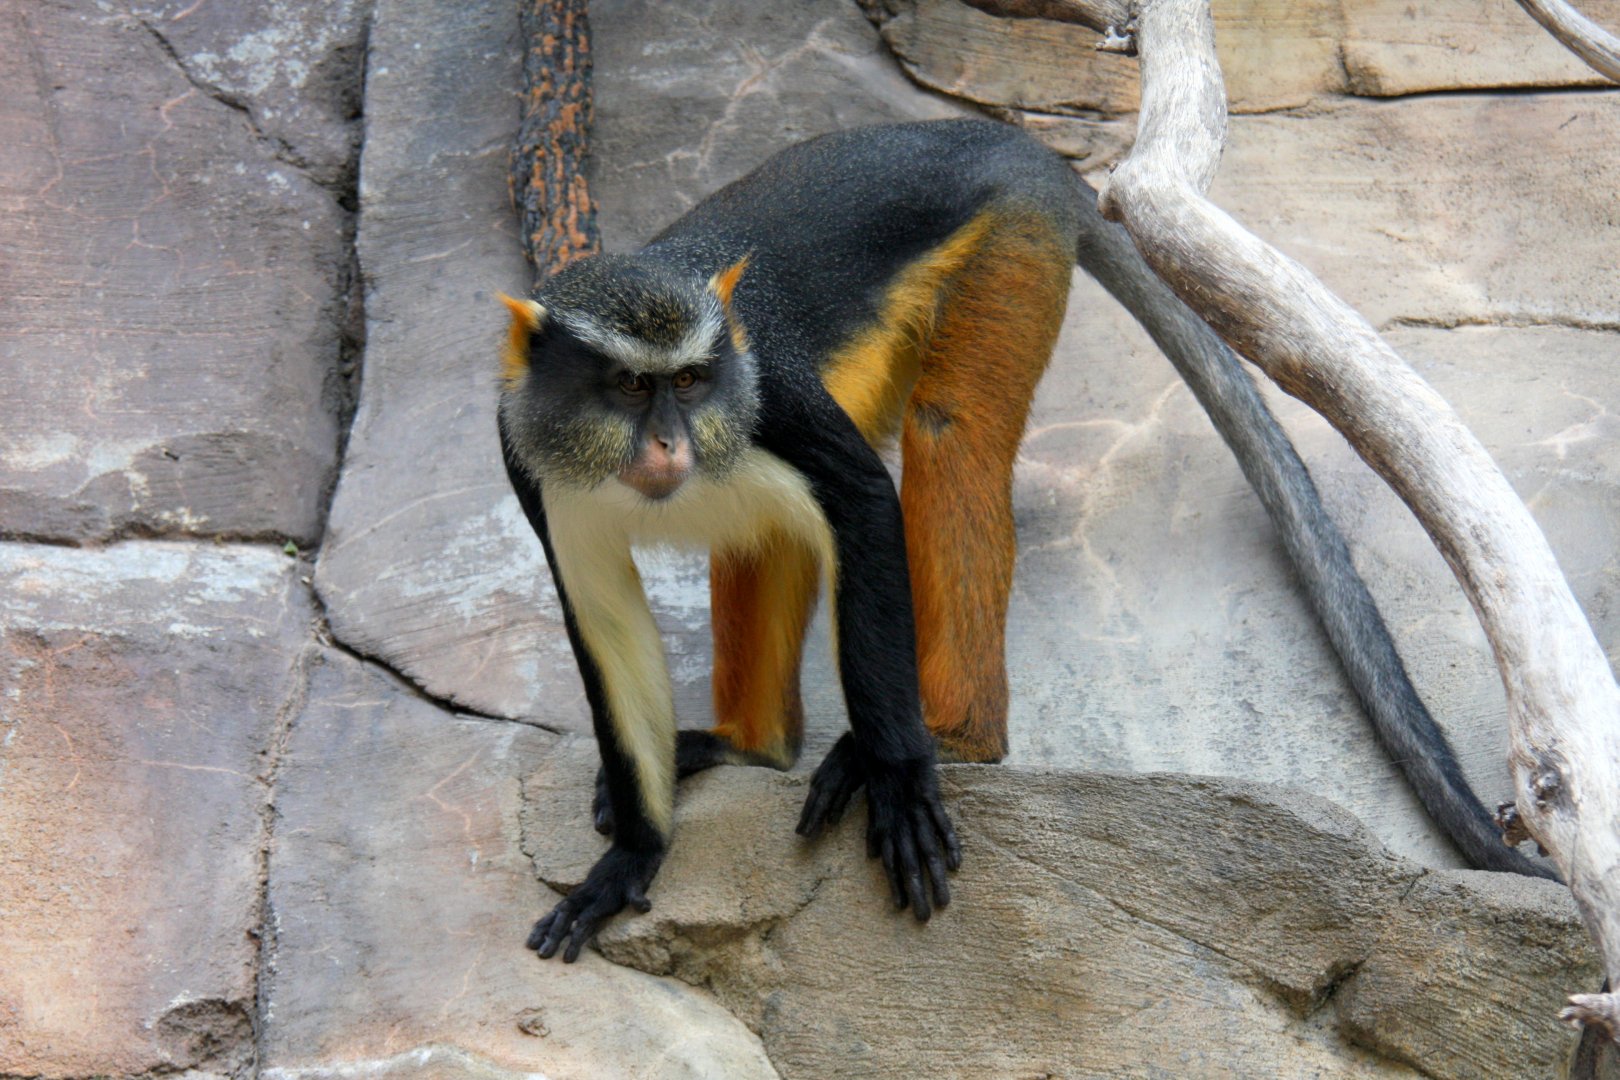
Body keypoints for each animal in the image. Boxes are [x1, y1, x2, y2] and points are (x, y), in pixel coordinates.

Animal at [497, 117, 1548, 962]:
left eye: (692, 379)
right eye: (631, 386)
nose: (672, 441)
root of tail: (1005, 140)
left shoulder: (772, 399)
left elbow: (866, 501)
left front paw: (900, 772)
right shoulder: (527, 455)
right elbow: (603, 616)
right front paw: (632, 855)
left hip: (1013, 246)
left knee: (948, 433)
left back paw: (953, 738)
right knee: (767, 535)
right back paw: (754, 747)